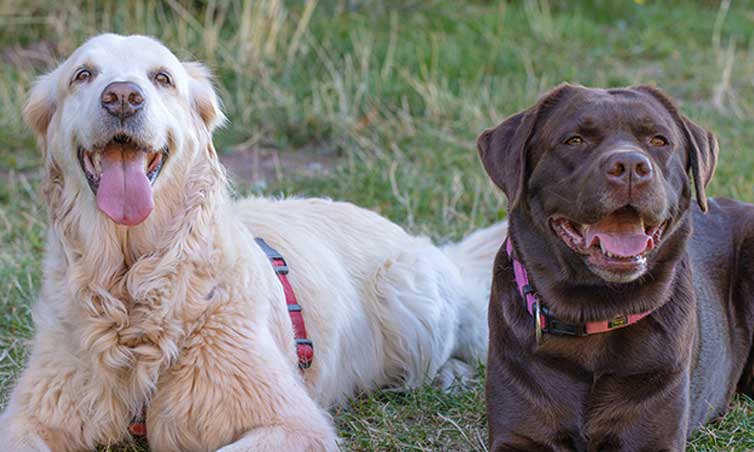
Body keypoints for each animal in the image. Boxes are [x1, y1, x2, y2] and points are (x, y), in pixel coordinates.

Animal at [1, 33, 506, 450]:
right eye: (83, 75)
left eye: (162, 78)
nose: (122, 97)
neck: (135, 285)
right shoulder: (28, 420)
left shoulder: (293, 423)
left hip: (410, 297)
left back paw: (450, 373)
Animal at [478, 84, 752, 448]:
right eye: (575, 140)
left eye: (659, 140)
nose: (631, 165)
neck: (598, 309)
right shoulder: (519, 434)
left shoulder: (654, 435)